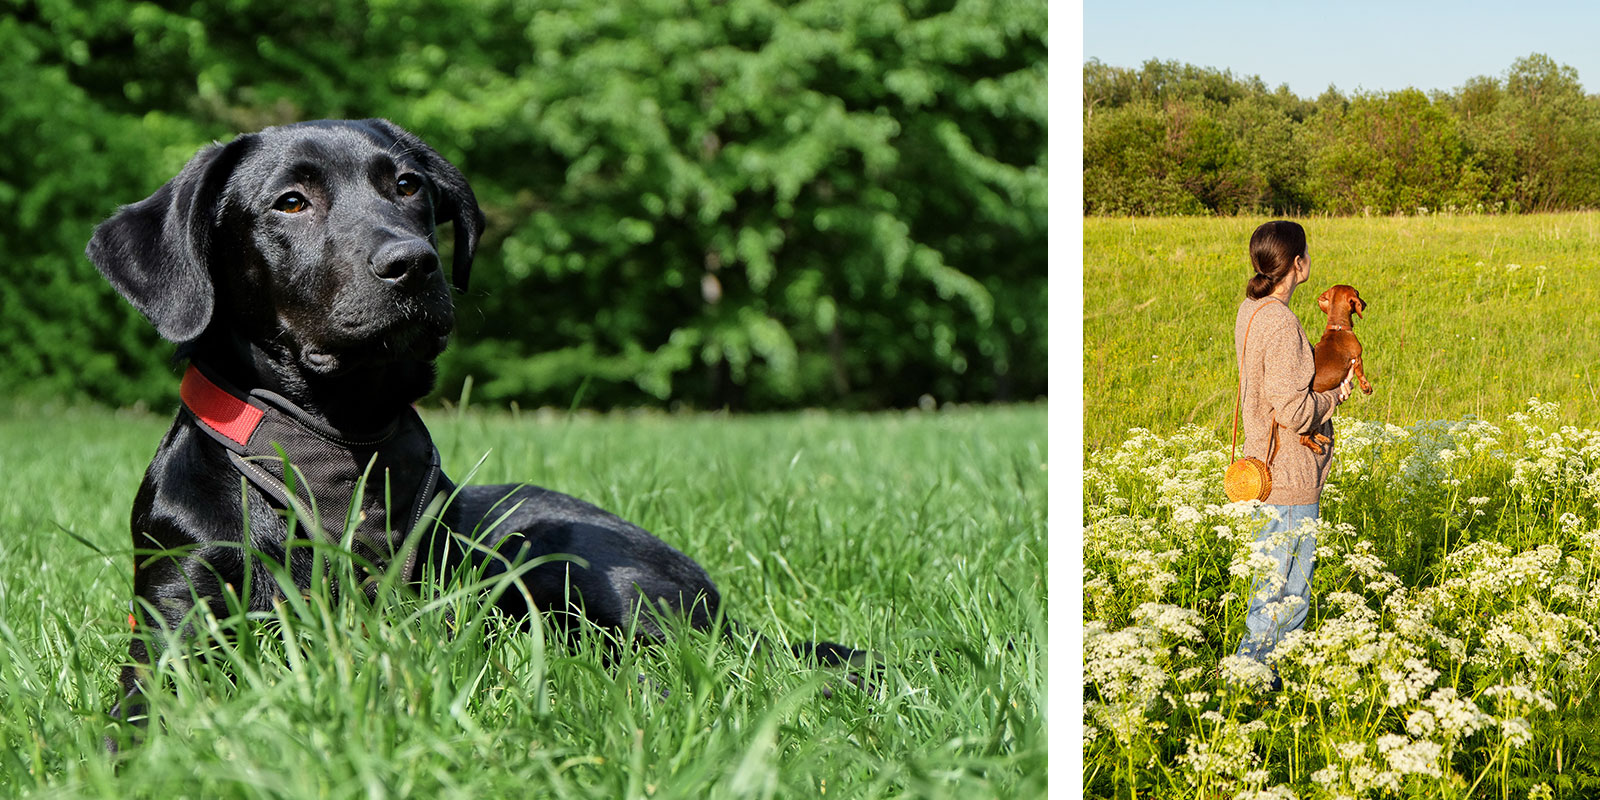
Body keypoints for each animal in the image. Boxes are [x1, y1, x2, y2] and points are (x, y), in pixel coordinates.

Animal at [87, 120, 864, 732]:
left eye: (407, 187)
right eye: (291, 201)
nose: (413, 263)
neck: (332, 446)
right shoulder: (176, 608)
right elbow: (147, 703)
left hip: (570, 560)